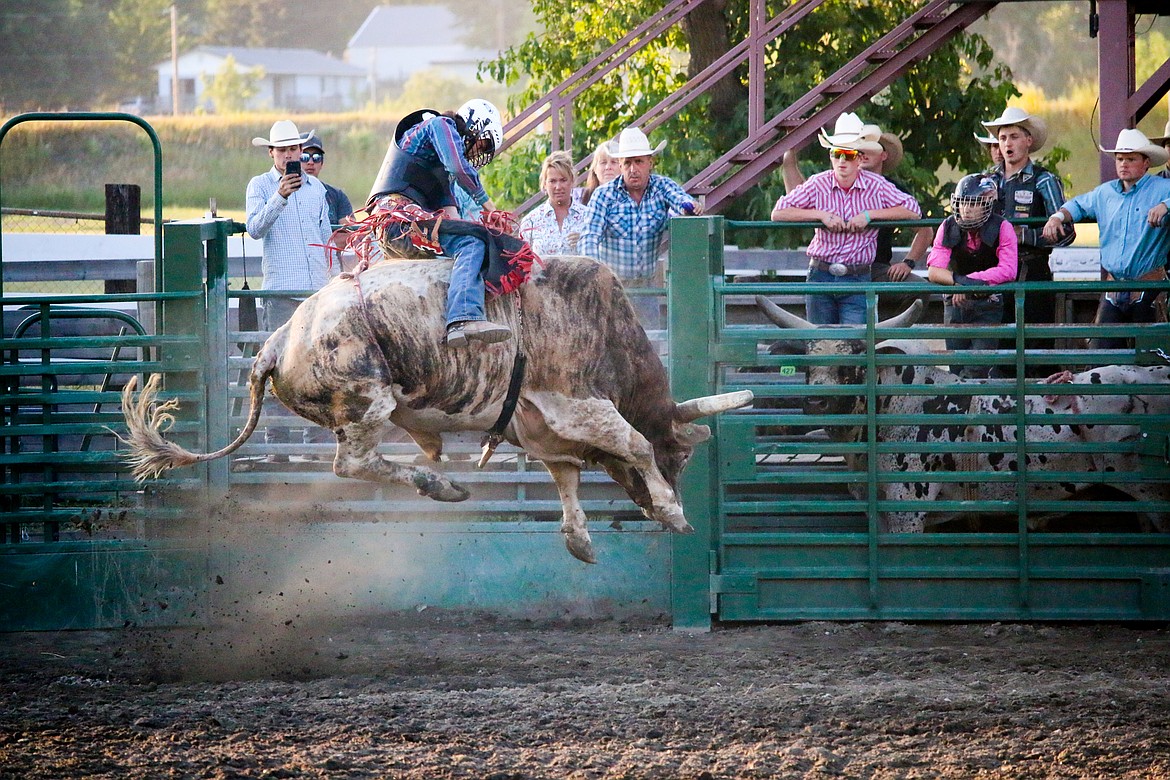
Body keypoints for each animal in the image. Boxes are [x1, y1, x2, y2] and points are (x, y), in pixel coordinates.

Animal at [118, 256, 753, 561]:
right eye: (681, 458)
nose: (658, 502)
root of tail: (276, 341)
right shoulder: (577, 404)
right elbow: (636, 442)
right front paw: (673, 511)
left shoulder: (546, 430)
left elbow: (567, 476)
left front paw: (579, 540)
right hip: (367, 399)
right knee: (351, 464)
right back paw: (438, 484)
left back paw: (440, 484)